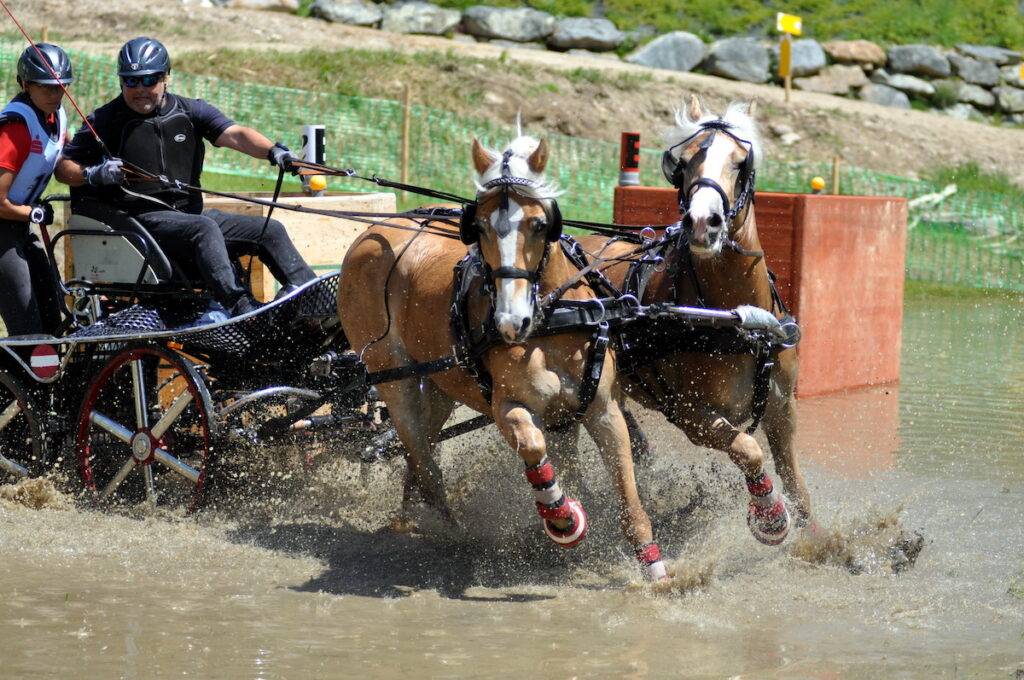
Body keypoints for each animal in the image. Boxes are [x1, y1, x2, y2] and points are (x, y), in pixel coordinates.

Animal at [338, 134, 667, 580]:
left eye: (540, 224)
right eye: (478, 227)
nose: (511, 322)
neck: (551, 322)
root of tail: (371, 232)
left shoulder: (602, 409)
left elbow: (626, 489)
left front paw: (654, 567)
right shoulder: (508, 407)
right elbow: (533, 448)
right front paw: (563, 518)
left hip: (439, 383)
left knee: (420, 451)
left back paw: (413, 517)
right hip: (393, 376)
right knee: (422, 458)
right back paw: (449, 530)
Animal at [583, 97, 811, 545]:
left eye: (740, 162)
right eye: (684, 161)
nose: (704, 222)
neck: (736, 320)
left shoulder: (783, 407)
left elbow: (799, 488)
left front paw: (826, 546)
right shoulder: (692, 416)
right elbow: (748, 450)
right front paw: (769, 517)